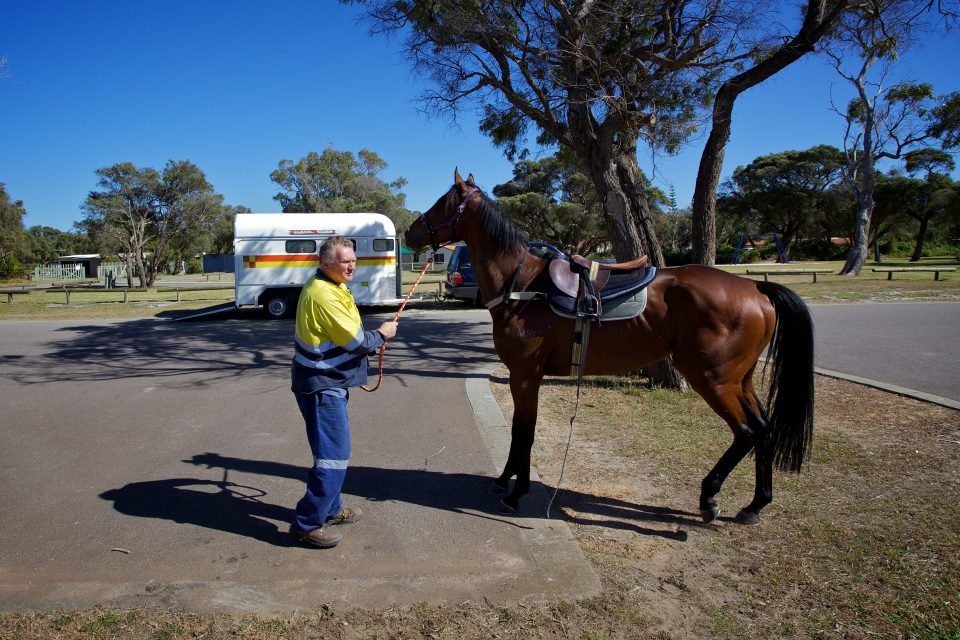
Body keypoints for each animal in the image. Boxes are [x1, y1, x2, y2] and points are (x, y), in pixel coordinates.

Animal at [406, 170, 816, 524]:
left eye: (442, 202)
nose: (410, 232)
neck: (523, 286)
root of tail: (755, 287)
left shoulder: (525, 375)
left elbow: (524, 431)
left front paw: (516, 492)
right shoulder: (525, 377)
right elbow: (519, 432)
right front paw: (504, 481)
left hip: (713, 379)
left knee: (746, 432)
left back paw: (709, 497)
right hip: (739, 380)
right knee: (763, 428)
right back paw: (756, 504)